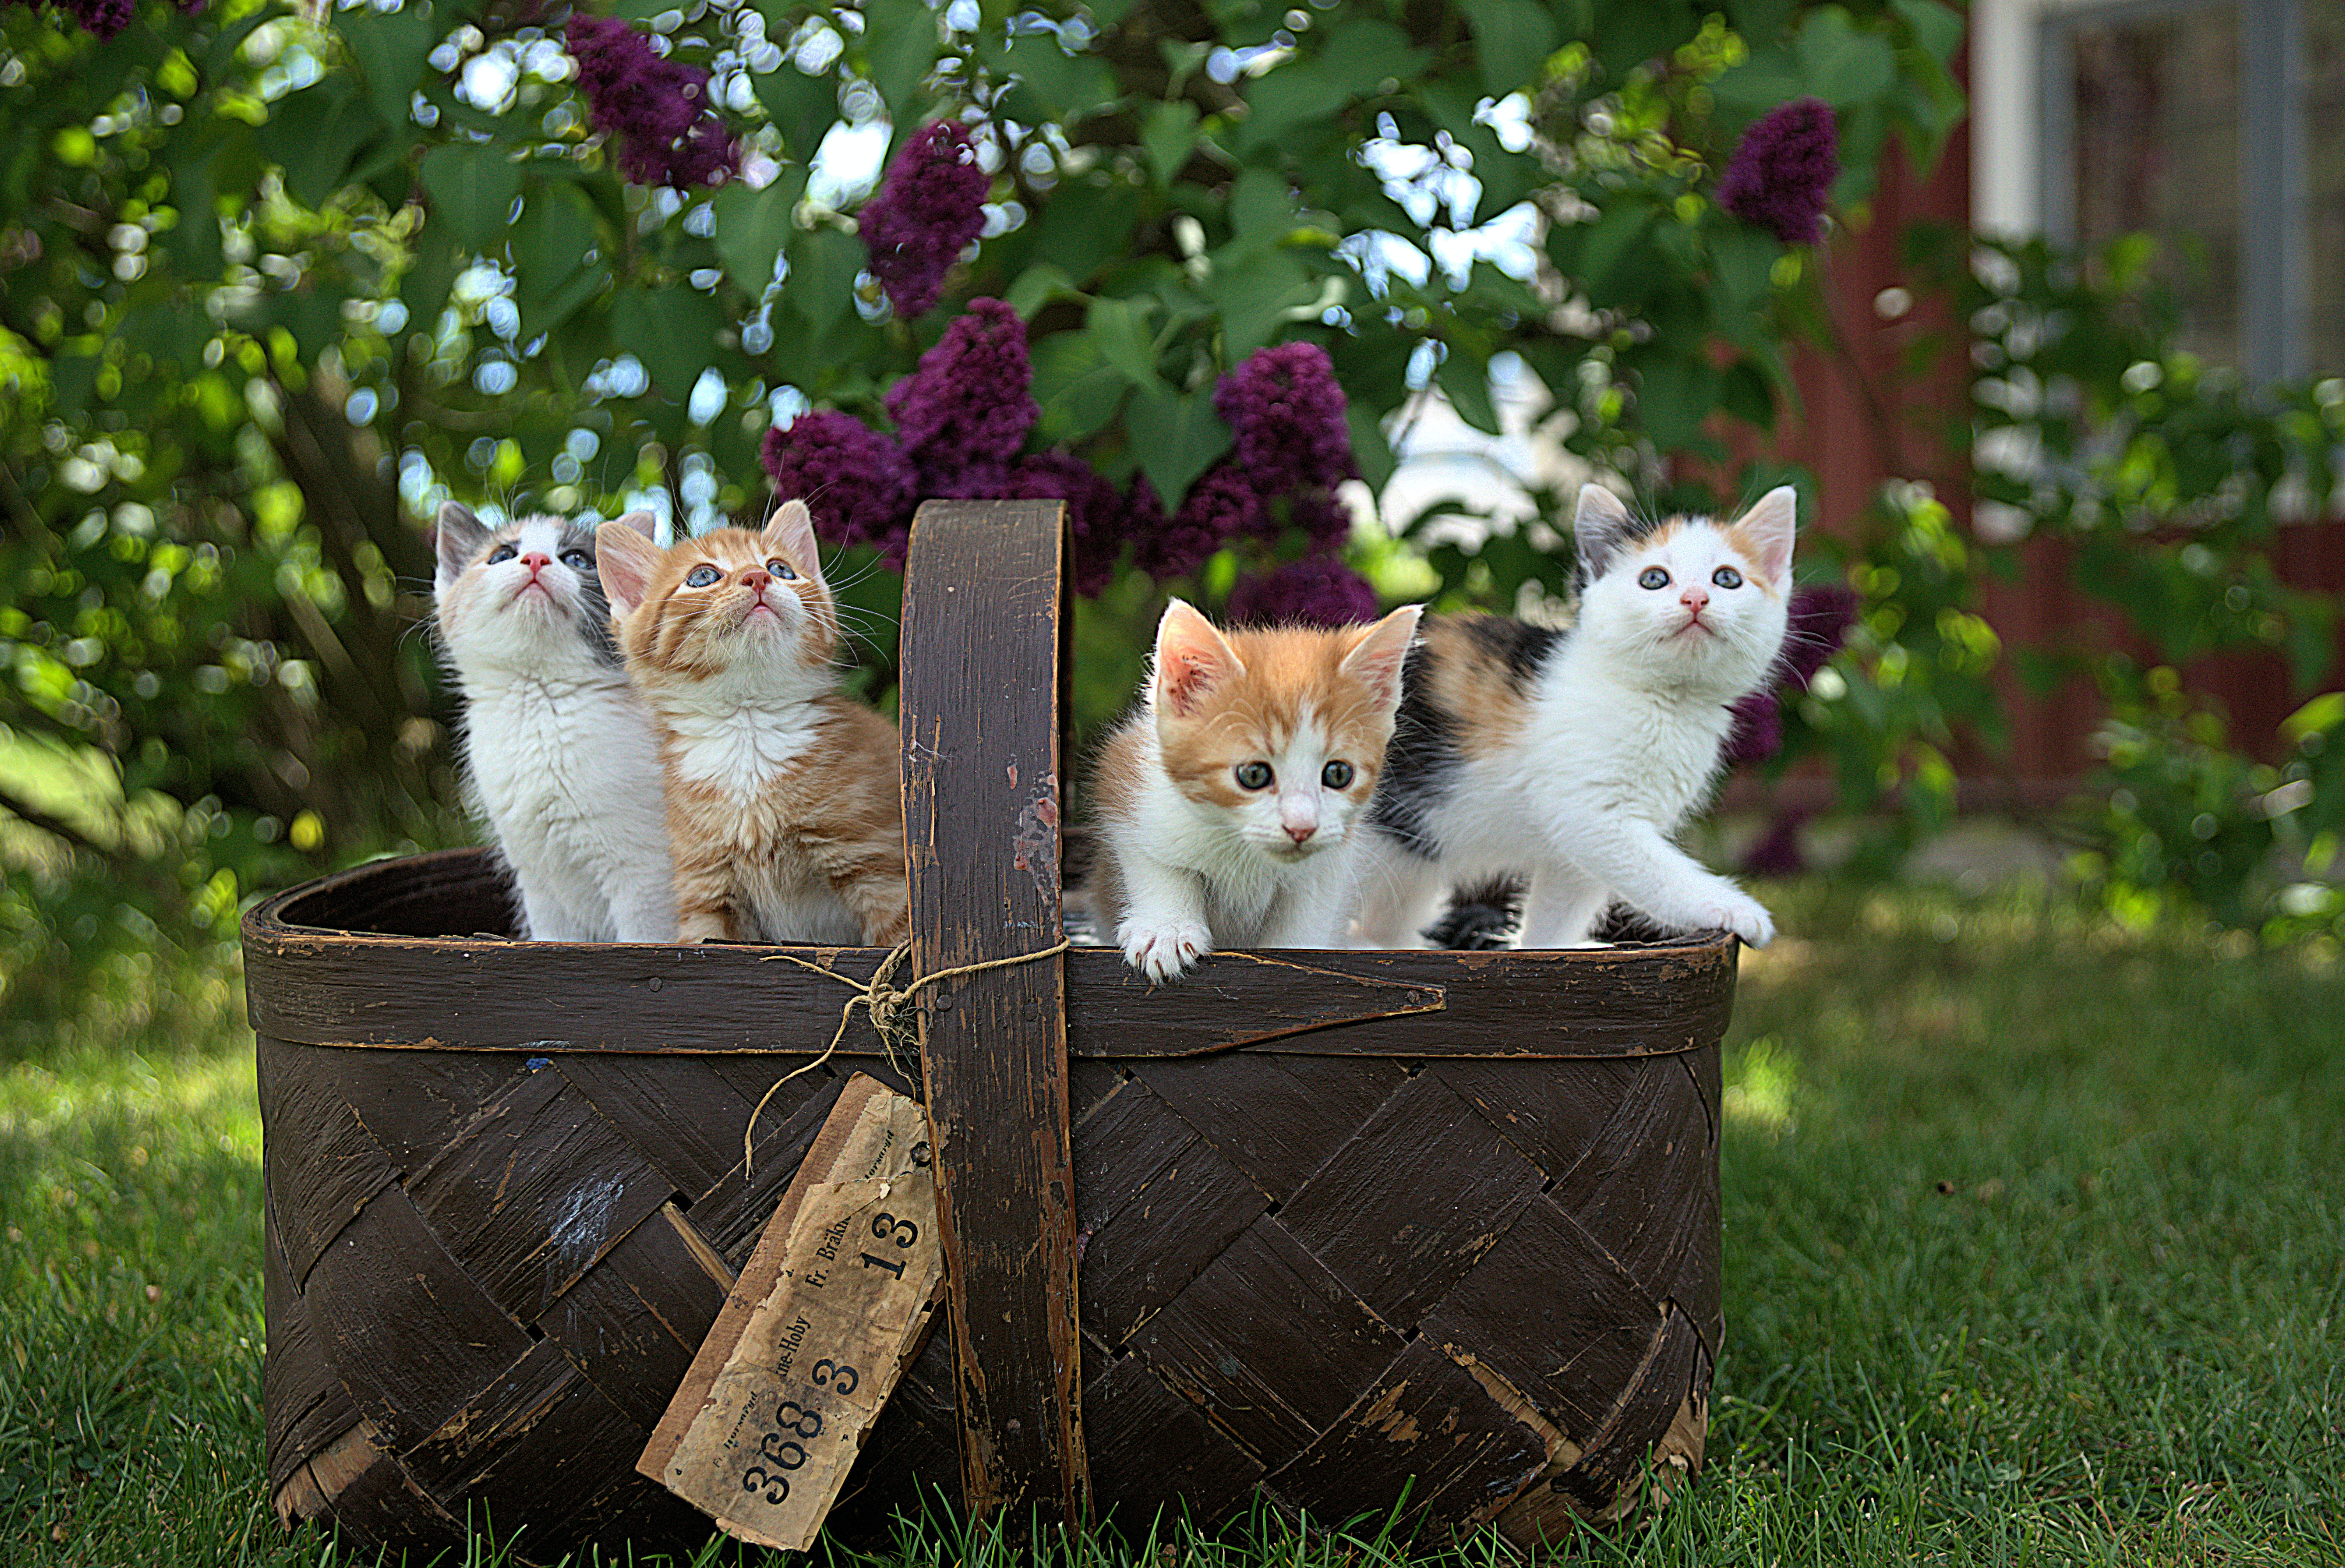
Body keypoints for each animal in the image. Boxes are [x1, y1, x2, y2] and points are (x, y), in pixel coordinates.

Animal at [431, 501, 680, 942]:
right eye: (502, 555)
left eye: (577, 559)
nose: (535, 559)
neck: (541, 702)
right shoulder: (539, 883)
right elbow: (554, 940)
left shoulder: (646, 876)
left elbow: (645, 940)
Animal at [595, 501, 905, 942]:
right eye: (703, 577)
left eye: (782, 569)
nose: (758, 577)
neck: (748, 728)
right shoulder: (706, 888)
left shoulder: (878, 866)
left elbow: (900, 943)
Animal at [1083, 595, 1425, 980]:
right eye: (1254, 775)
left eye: (1339, 774)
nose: (1302, 828)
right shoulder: (1129, 780)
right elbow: (1156, 862)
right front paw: (1166, 929)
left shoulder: (1334, 857)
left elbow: (1310, 907)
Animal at [1360, 485, 1791, 956]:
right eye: (1654, 579)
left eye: (1727, 579)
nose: (1696, 599)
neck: (1664, 701)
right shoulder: (1590, 813)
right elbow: (1660, 873)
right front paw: (1733, 908)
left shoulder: (1576, 848)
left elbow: (1558, 911)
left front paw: (1544, 951)